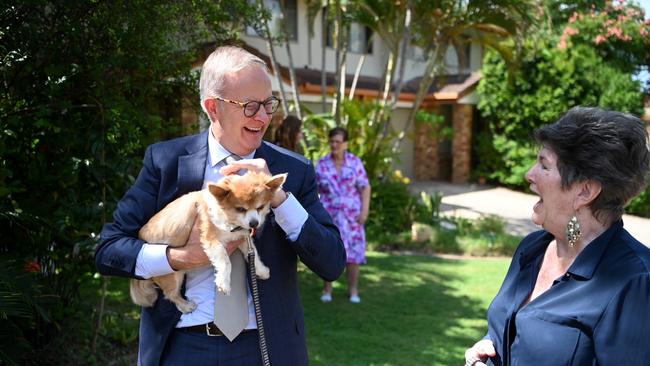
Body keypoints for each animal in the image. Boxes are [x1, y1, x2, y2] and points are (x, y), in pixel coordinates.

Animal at [129, 170, 286, 314]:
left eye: (260, 207)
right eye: (240, 209)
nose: (254, 223)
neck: (231, 221)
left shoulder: (241, 238)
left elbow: (253, 253)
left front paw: (260, 270)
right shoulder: (211, 239)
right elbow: (225, 261)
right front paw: (224, 282)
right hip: (173, 275)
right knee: (171, 294)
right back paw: (185, 305)